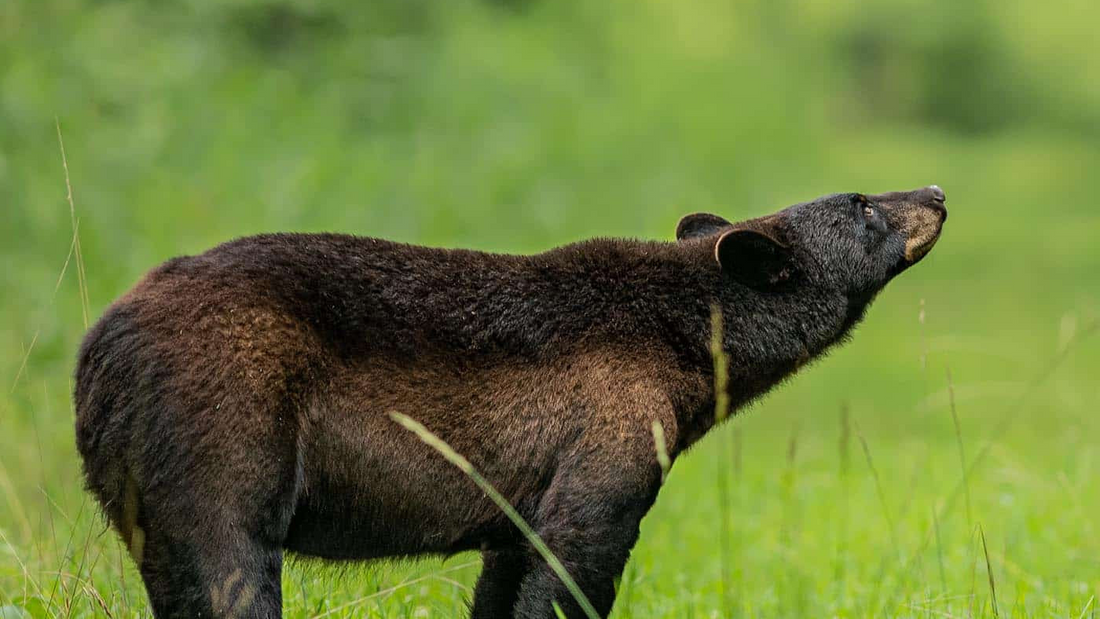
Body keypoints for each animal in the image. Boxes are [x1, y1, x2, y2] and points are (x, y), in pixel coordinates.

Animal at [74, 186, 947, 618]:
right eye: (862, 206)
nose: (936, 189)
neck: (679, 336)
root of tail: (98, 352)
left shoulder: (523, 492)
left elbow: (510, 567)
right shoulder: (611, 420)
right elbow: (579, 551)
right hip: (221, 422)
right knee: (226, 565)